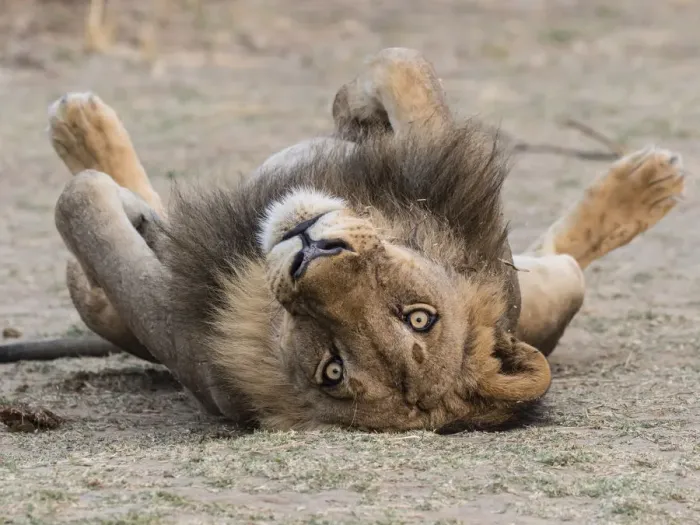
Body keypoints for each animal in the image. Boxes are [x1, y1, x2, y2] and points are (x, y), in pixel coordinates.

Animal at [47, 48, 685, 433]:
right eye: (419, 316)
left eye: (333, 371)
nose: (311, 251)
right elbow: (405, 69)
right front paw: (354, 112)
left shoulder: (184, 340)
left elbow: (79, 203)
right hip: (547, 287)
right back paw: (650, 179)